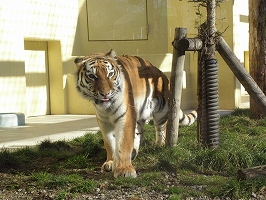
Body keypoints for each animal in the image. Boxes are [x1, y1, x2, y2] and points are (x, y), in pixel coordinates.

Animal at [74, 49, 196, 177]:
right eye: (92, 76)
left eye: (110, 74)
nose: (105, 93)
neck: (107, 108)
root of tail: (162, 74)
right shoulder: (103, 121)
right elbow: (109, 142)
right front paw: (111, 162)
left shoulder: (125, 116)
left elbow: (123, 142)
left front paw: (124, 170)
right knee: (139, 134)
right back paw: (133, 152)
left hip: (161, 111)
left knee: (161, 128)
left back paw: (159, 145)